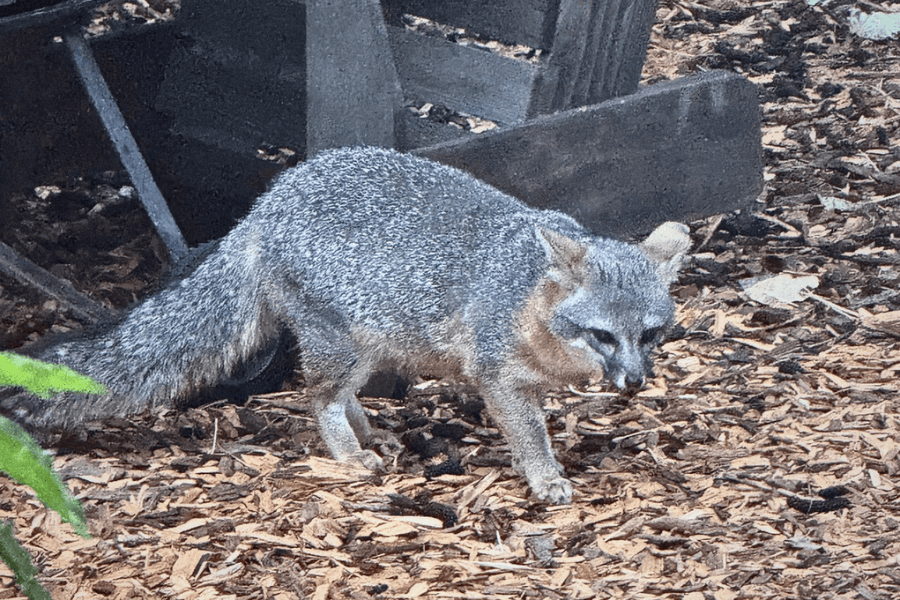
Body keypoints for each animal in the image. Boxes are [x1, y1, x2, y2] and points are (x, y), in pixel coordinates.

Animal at [2, 147, 689, 504]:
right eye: (603, 335)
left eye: (650, 335)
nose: (633, 382)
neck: (528, 304)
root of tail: (262, 208)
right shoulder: (497, 376)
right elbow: (529, 435)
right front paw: (546, 477)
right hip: (339, 344)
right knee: (318, 396)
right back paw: (348, 452)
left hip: (371, 341)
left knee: (341, 393)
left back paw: (370, 433)